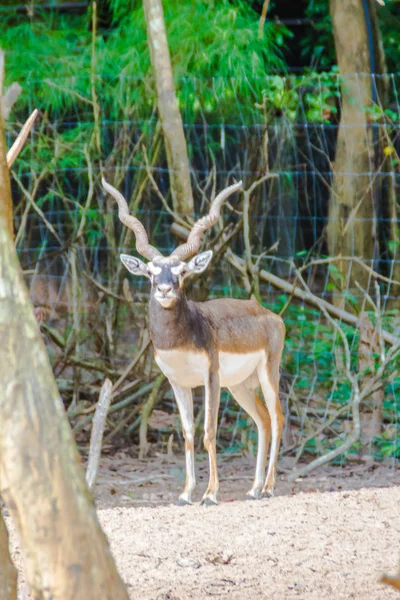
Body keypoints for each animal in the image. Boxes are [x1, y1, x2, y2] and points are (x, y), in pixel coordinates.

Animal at [103, 176, 284, 504]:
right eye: (151, 272)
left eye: (182, 271)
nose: (164, 290)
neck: (181, 340)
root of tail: (270, 315)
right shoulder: (177, 382)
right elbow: (187, 434)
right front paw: (186, 493)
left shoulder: (210, 377)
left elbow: (209, 432)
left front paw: (210, 494)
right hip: (239, 385)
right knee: (263, 420)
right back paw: (253, 488)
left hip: (267, 374)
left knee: (278, 418)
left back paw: (268, 487)